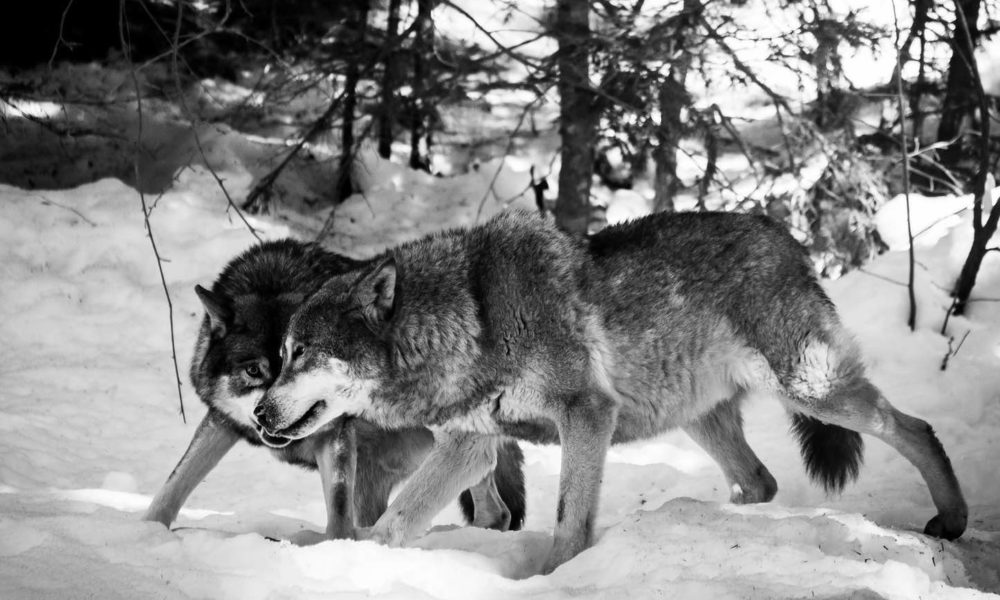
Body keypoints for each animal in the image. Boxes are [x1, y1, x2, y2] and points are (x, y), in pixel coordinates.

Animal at [143, 239, 526, 539]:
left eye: (302, 360)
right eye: (254, 370)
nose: (267, 414)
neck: (274, 281)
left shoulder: (335, 435)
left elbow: (338, 515)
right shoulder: (222, 421)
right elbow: (175, 483)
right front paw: (145, 531)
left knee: (493, 505)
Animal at [252, 210, 967, 573]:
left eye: (302, 354)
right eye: (279, 357)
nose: (259, 413)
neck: (475, 314)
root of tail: (784, 235)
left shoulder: (587, 415)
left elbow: (570, 518)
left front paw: (554, 581)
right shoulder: (473, 445)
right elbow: (395, 523)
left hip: (810, 390)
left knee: (917, 429)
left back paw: (953, 521)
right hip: (700, 418)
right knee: (761, 480)